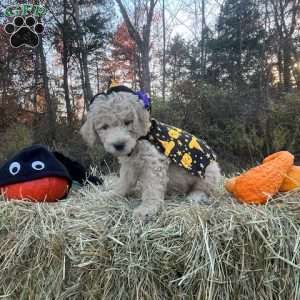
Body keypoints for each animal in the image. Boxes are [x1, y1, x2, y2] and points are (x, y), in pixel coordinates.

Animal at [79, 85, 220, 219]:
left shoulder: (154, 162)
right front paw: (113, 194)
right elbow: (123, 182)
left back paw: (196, 195)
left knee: (206, 188)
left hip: (209, 171)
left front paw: (146, 209)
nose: (119, 145)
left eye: (128, 122)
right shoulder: (129, 165)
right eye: (104, 127)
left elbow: (152, 187)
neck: (140, 139)